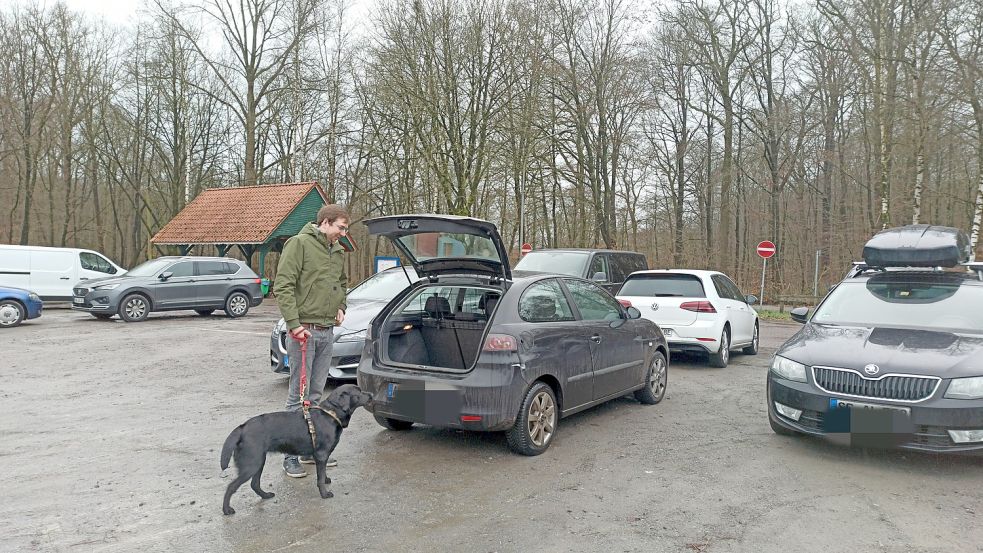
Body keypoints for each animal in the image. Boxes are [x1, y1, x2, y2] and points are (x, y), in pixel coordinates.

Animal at [221, 384, 374, 512]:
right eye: (359, 392)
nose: (372, 394)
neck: (331, 413)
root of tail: (242, 428)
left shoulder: (321, 456)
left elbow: (323, 473)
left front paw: (326, 479)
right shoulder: (321, 455)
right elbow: (319, 478)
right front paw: (324, 493)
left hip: (259, 462)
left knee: (255, 484)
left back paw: (265, 495)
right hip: (251, 464)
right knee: (231, 486)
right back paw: (227, 510)